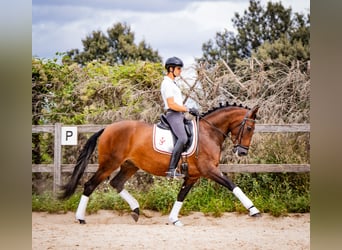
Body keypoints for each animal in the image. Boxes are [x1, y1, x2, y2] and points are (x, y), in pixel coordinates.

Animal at [60, 102, 260, 226]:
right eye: (249, 128)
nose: (242, 152)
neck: (209, 133)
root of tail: (107, 128)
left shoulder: (193, 175)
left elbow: (181, 195)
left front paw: (174, 219)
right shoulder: (209, 170)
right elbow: (233, 186)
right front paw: (253, 210)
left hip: (130, 165)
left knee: (116, 183)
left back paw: (136, 210)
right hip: (109, 164)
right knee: (90, 185)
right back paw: (80, 218)